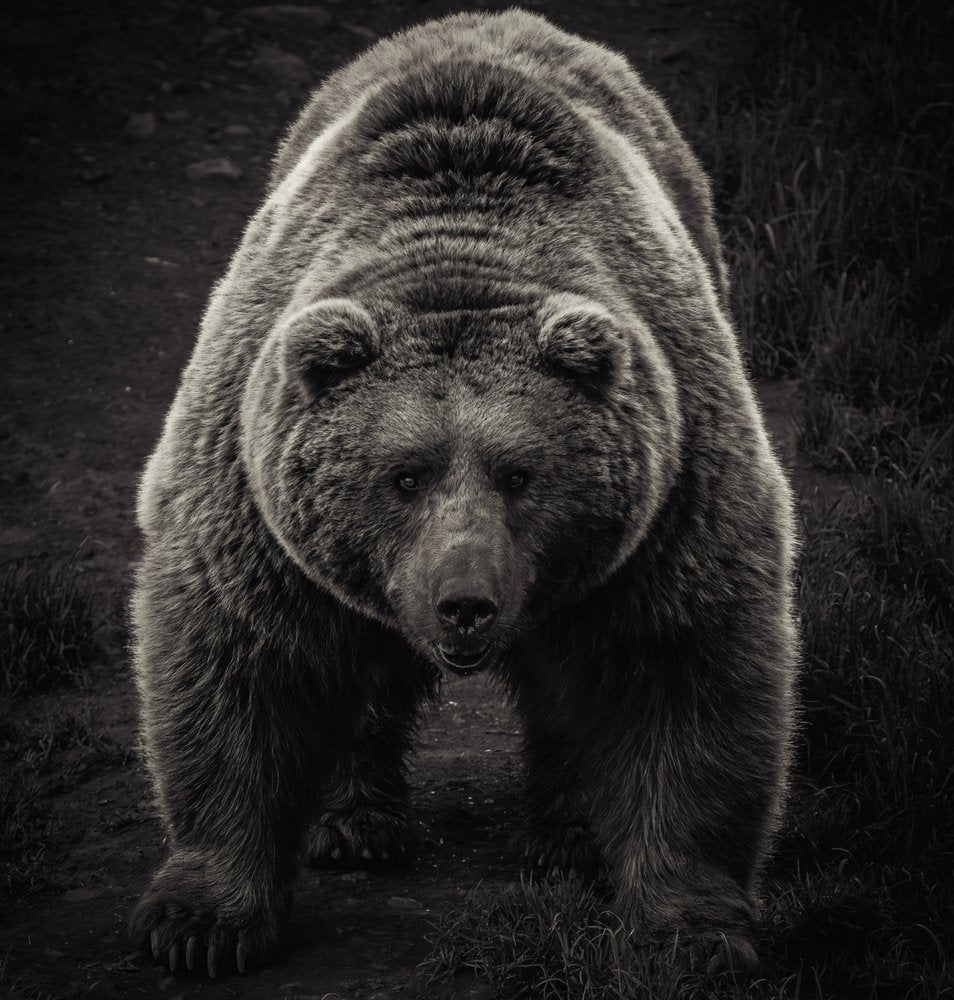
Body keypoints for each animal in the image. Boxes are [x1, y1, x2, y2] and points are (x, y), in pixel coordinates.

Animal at [128, 9, 797, 979]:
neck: (459, 260)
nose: (465, 602)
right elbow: (238, 673)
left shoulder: (669, 511)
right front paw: (199, 923)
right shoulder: (253, 518)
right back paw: (353, 824)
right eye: (403, 475)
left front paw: (695, 931)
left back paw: (566, 838)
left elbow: (683, 680)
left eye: (522, 473)